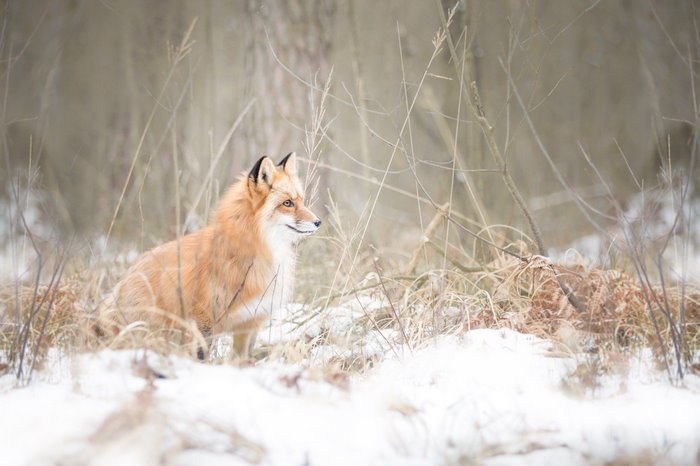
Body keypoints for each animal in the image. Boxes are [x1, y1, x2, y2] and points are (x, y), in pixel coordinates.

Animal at [110, 152, 320, 359]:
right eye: (287, 203)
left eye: (301, 200)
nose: (318, 222)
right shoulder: (203, 319)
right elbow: (201, 357)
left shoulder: (250, 321)